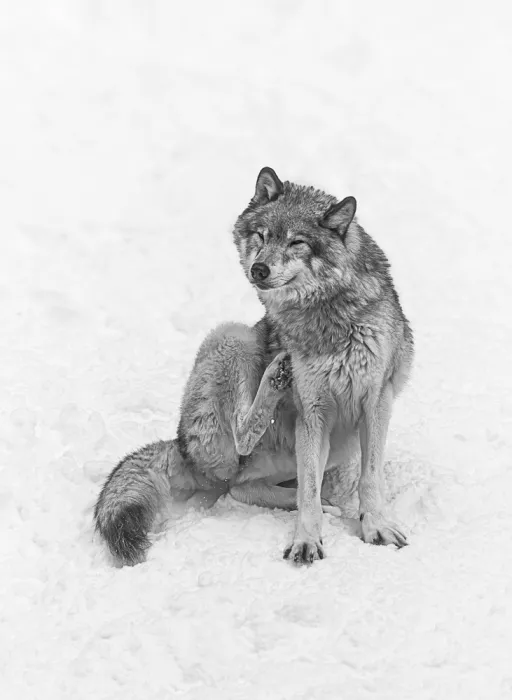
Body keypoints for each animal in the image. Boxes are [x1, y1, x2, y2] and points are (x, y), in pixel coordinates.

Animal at [94, 167, 413, 566]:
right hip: (234, 335)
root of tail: (180, 446)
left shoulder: (376, 401)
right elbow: (308, 490)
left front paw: (376, 528)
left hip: (327, 447)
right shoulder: (312, 412)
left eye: (297, 243)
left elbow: (369, 478)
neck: (326, 315)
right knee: (241, 456)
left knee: (243, 487)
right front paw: (306, 541)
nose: (259, 269)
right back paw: (277, 377)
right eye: (261, 236)